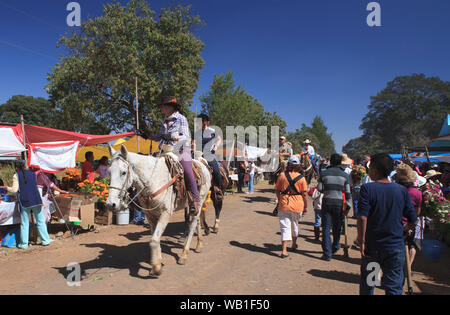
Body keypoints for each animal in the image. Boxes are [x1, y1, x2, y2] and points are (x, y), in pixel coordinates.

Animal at [106, 146, 212, 276]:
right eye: (109, 172)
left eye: (123, 172)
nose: (110, 204)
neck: (153, 180)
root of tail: (202, 163)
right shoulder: (150, 215)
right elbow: (154, 238)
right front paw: (157, 262)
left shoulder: (165, 213)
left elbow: (154, 240)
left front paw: (156, 267)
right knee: (196, 222)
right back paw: (199, 245)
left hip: (200, 200)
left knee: (192, 225)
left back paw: (184, 255)